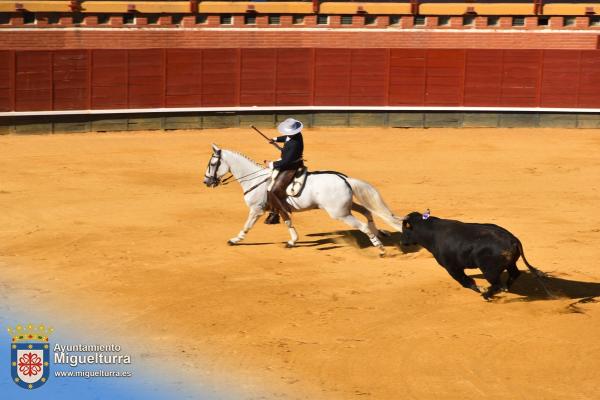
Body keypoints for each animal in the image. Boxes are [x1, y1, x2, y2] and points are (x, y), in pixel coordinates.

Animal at [202, 145, 404, 255]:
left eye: (212, 163)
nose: (206, 181)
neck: (253, 179)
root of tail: (344, 178)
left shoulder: (256, 209)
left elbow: (247, 225)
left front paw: (235, 239)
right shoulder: (279, 207)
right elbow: (288, 222)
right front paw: (292, 241)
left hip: (339, 213)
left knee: (362, 225)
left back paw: (380, 249)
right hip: (346, 207)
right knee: (367, 211)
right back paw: (380, 233)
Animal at [400, 212, 552, 300]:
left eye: (405, 230)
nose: (402, 243)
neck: (432, 232)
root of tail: (513, 239)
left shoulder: (452, 268)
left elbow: (465, 281)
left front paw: (480, 289)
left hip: (489, 271)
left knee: (496, 283)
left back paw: (487, 295)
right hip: (510, 263)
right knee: (514, 273)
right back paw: (505, 289)